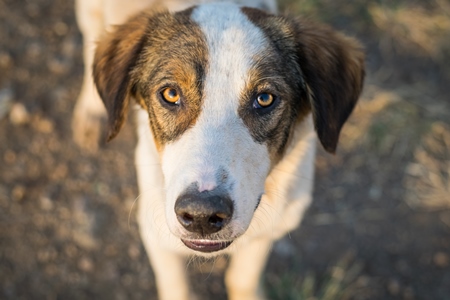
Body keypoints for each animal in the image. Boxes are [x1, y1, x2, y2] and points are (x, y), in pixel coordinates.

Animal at [72, 0, 364, 300]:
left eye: (265, 98)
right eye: (171, 94)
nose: (201, 215)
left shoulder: (270, 228)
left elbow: (242, 279)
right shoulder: (156, 233)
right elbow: (177, 289)